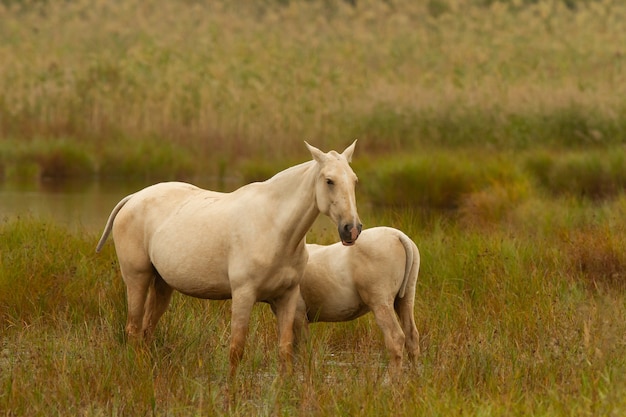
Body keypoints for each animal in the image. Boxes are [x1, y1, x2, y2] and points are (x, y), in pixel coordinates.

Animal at [95, 141, 364, 374]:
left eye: (354, 181)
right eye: (329, 181)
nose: (351, 229)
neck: (273, 226)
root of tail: (133, 198)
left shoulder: (287, 297)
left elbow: (285, 350)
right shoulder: (243, 294)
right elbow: (237, 349)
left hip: (162, 284)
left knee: (147, 330)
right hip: (137, 278)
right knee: (133, 329)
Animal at [292, 226, 420, 376]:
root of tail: (398, 235)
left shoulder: (298, 313)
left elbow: (301, 350)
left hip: (380, 300)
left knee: (396, 338)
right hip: (406, 296)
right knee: (412, 336)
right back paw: (414, 377)